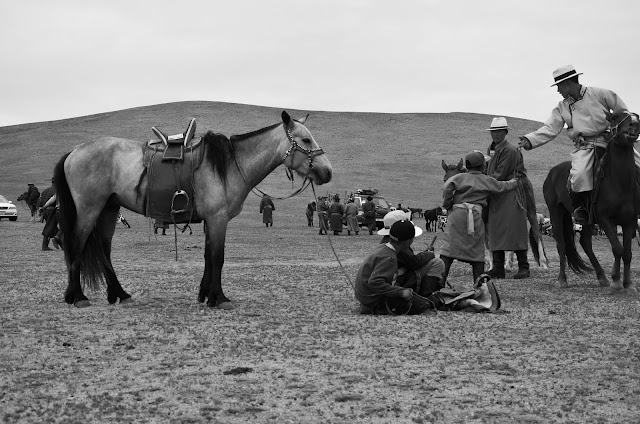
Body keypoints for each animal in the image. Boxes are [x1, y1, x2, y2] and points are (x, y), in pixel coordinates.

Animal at [53, 111, 332, 308]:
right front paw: (220, 298)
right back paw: (77, 297)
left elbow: (209, 256)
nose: (327, 171)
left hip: (109, 209)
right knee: (76, 245)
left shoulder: (212, 220)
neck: (231, 165)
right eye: (306, 139)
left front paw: (206, 295)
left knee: (104, 249)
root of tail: (74, 151)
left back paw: (119, 294)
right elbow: (218, 257)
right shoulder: (218, 218)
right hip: (90, 208)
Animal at [544, 110, 640, 292]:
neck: (619, 182)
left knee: (585, 242)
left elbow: (627, 253)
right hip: (556, 212)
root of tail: (552, 172)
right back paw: (562, 279)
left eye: (637, 116)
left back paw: (602, 277)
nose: (635, 125)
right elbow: (617, 249)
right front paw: (616, 281)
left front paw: (628, 284)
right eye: (615, 117)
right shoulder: (605, 220)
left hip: (587, 220)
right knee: (561, 244)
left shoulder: (629, 222)